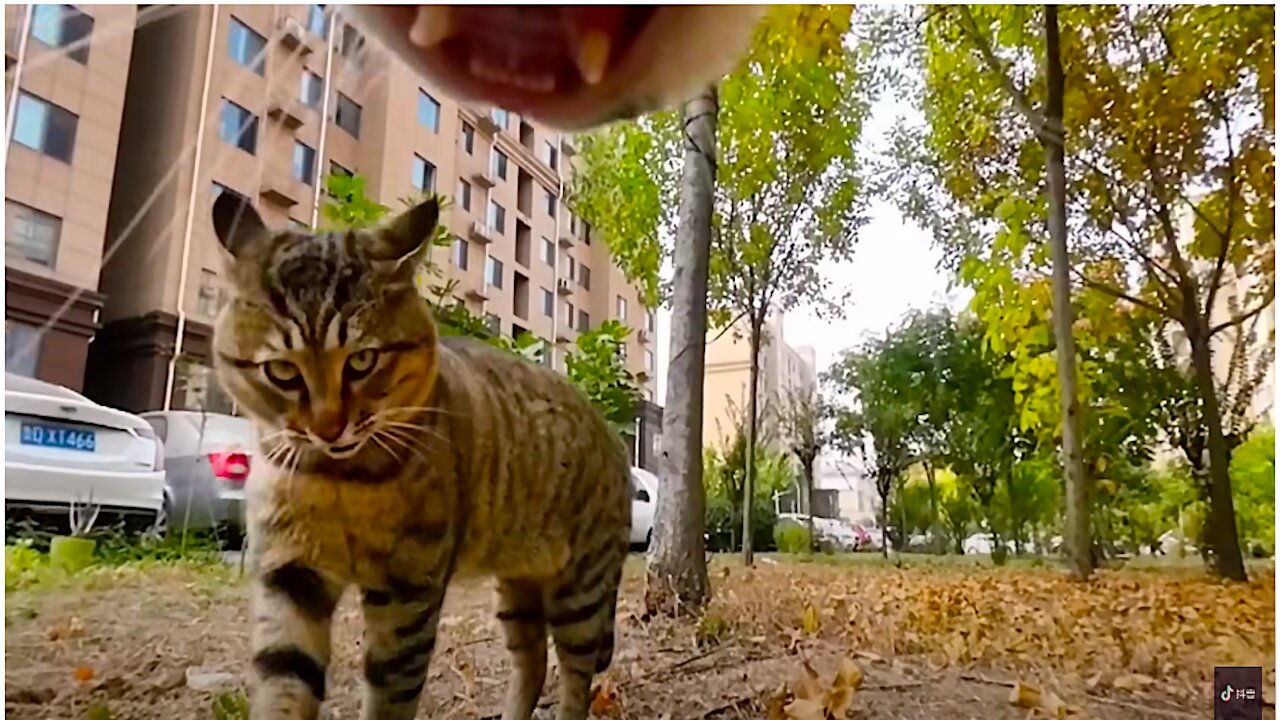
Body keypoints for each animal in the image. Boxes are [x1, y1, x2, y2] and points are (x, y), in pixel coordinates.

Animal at [212, 192, 632, 717]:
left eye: (362, 360)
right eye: (283, 371)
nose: (329, 427)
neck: (340, 479)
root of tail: (613, 433)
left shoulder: (408, 594)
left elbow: (390, 694)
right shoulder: (290, 576)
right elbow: (283, 684)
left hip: (581, 590)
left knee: (577, 678)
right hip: (517, 589)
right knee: (532, 661)